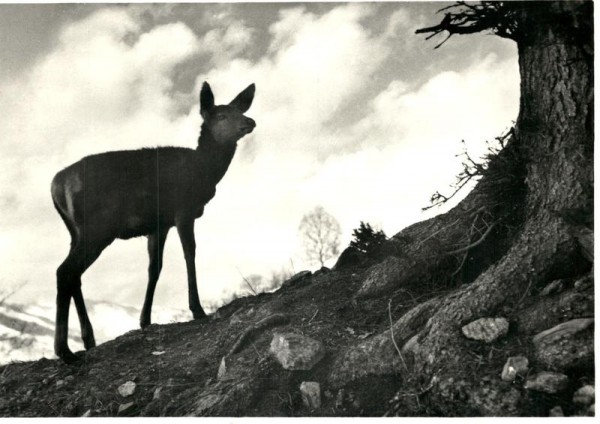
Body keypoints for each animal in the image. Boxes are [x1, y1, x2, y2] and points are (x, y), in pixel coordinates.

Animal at [51, 83, 255, 364]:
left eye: (240, 110)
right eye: (222, 116)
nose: (250, 121)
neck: (203, 172)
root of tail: (55, 186)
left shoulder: (159, 225)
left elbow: (154, 268)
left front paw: (144, 320)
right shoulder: (182, 210)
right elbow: (189, 253)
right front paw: (197, 309)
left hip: (77, 232)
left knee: (75, 275)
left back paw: (88, 339)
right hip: (98, 228)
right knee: (65, 271)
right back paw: (64, 350)